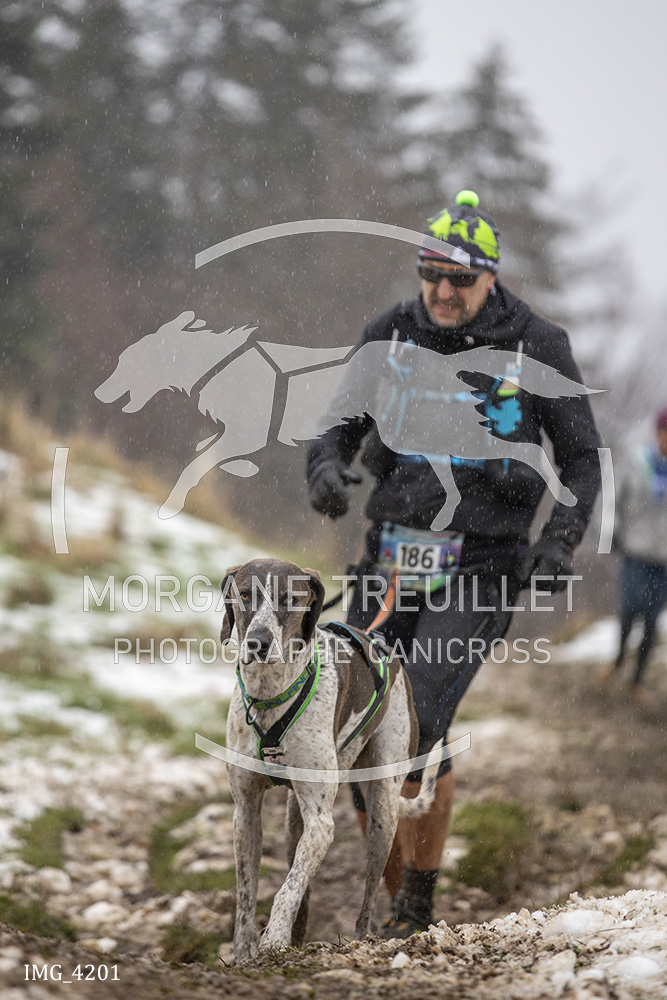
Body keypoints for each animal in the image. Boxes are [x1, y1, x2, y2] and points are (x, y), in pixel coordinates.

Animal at [221, 557, 442, 960]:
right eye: (244, 594)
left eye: (290, 598)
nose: (258, 642)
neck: (270, 695)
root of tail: (387, 652)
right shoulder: (245, 812)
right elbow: (247, 893)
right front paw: (244, 952)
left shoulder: (322, 823)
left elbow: (287, 888)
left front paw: (274, 938)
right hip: (295, 820)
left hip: (382, 813)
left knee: (368, 891)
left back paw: (363, 937)